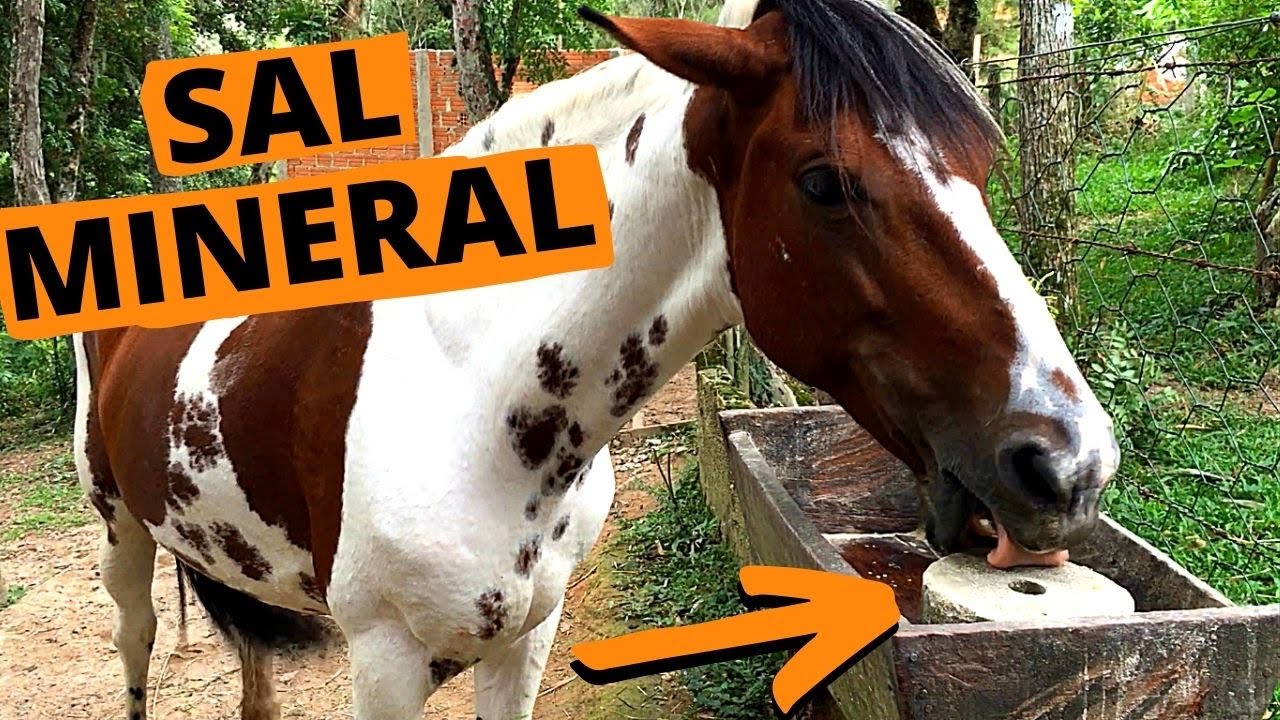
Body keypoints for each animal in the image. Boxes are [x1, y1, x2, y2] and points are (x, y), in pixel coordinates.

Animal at [72, 0, 1120, 717]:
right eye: (825, 182)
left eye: (981, 162)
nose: (1071, 465)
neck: (469, 404)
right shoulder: (385, 665)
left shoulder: (524, 644)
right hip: (121, 533)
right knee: (134, 641)